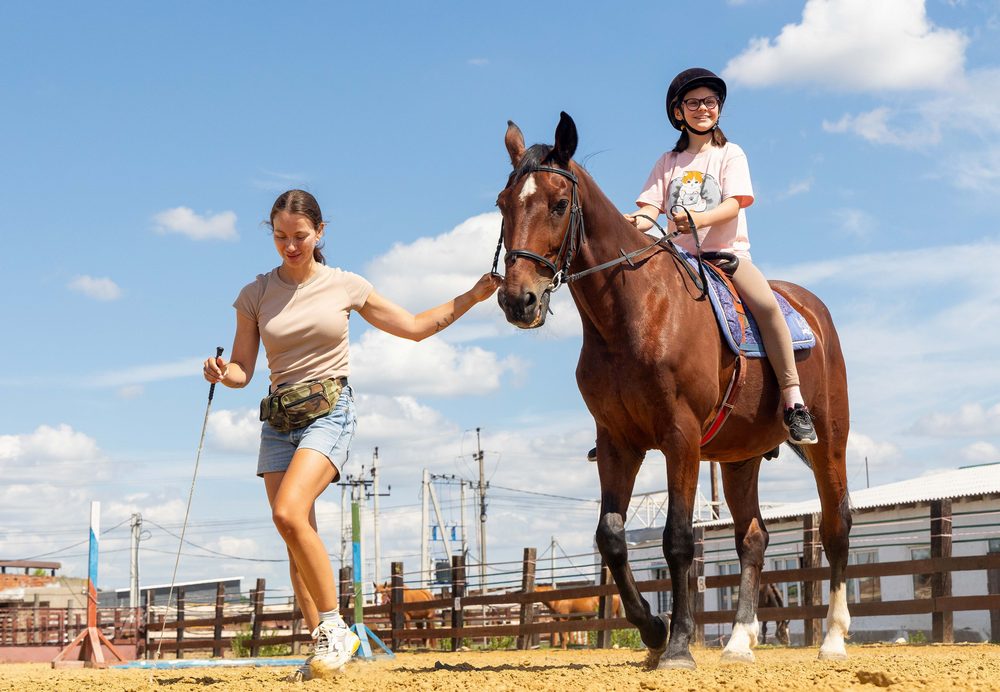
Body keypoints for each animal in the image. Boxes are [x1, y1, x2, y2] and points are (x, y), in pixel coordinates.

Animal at [496, 113, 848, 672]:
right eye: (502, 203)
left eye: (559, 203)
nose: (518, 300)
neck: (634, 313)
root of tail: (812, 310)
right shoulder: (618, 442)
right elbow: (610, 537)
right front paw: (653, 629)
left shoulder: (680, 437)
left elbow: (679, 539)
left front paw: (679, 645)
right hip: (739, 459)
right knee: (752, 538)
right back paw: (738, 641)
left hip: (829, 444)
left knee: (836, 528)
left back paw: (833, 638)